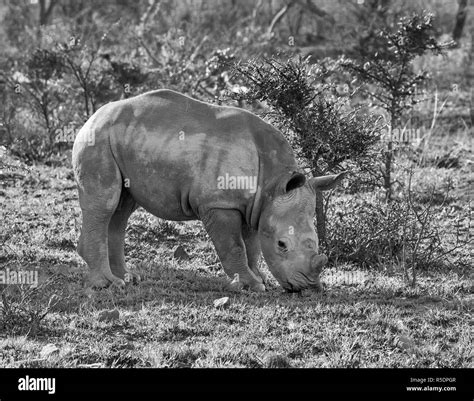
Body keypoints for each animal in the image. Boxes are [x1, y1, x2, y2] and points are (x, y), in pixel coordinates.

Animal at [71, 89, 344, 292]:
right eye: (282, 244)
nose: (309, 287)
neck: (273, 182)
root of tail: (92, 117)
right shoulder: (219, 202)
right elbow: (234, 245)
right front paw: (249, 285)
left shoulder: (254, 205)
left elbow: (252, 244)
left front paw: (259, 279)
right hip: (97, 140)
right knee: (105, 204)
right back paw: (108, 284)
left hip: (122, 140)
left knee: (122, 209)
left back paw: (129, 278)